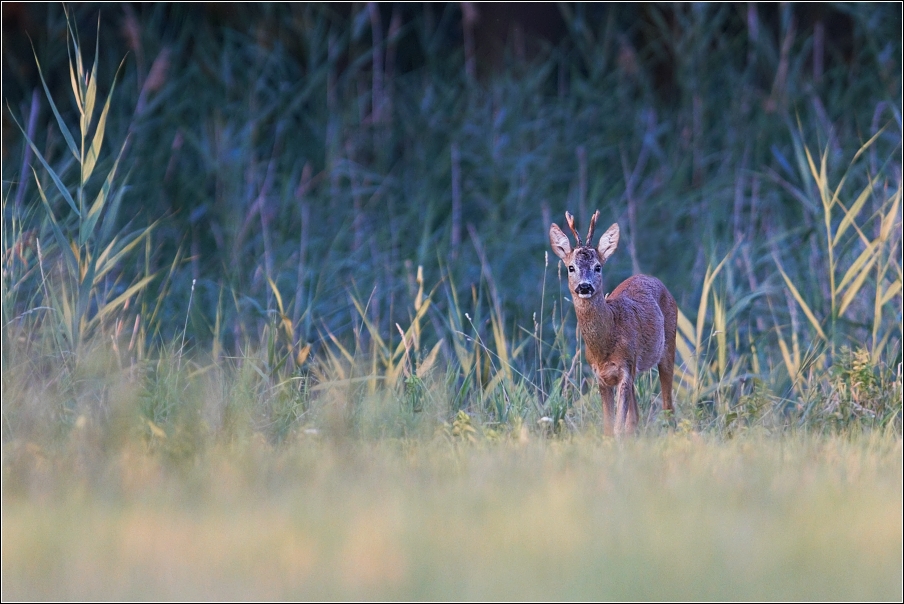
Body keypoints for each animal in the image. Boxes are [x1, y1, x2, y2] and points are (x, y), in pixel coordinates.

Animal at [548, 210, 676, 436]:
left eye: (598, 267)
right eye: (571, 267)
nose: (584, 286)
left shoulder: (625, 369)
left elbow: (617, 426)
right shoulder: (601, 376)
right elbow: (609, 426)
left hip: (667, 348)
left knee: (668, 406)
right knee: (636, 416)